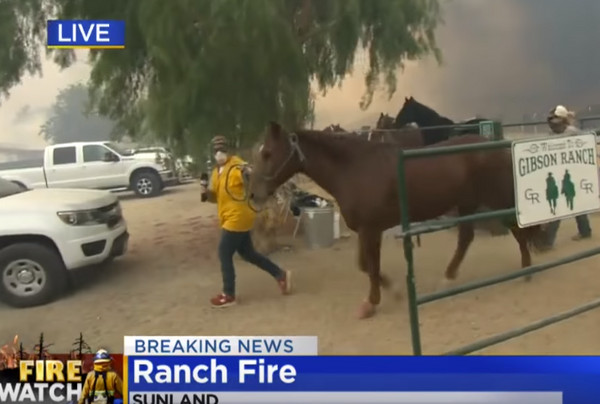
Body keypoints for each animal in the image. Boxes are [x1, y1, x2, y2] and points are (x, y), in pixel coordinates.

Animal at [248, 122, 544, 318]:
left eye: (268, 153)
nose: (253, 194)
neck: (354, 168)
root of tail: (495, 146)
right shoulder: (366, 230)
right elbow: (365, 265)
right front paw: (394, 292)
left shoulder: (371, 230)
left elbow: (371, 266)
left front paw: (372, 302)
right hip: (467, 204)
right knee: (466, 238)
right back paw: (448, 278)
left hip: (494, 199)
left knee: (517, 228)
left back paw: (526, 270)